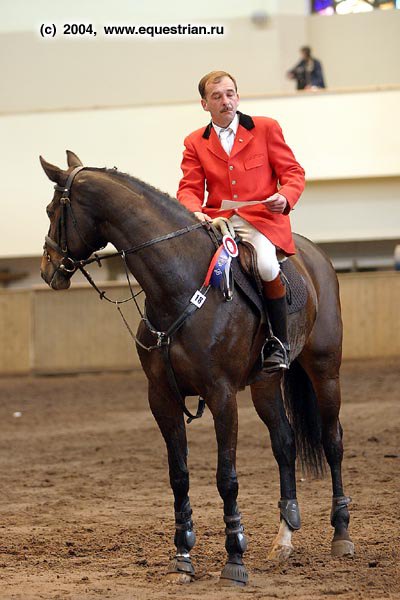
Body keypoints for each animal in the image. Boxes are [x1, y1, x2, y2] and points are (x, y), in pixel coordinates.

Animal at [39, 150, 354, 584]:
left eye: (52, 210)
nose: (46, 270)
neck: (177, 285)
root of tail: (314, 255)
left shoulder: (221, 395)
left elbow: (226, 477)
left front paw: (234, 558)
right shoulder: (162, 396)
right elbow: (179, 475)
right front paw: (183, 556)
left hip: (325, 370)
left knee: (331, 441)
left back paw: (341, 534)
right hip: (265, 384)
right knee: (285, 443)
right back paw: (285, 538)